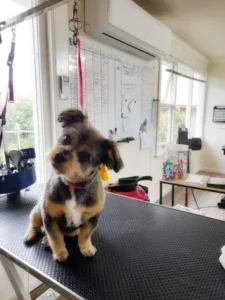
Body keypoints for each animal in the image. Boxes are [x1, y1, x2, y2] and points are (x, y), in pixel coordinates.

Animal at [23, 109, 124, 262]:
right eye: (66, 138)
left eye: (84, 156)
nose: (59, 155)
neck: (73, 185)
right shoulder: (49, 216)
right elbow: (56, 237)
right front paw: (60, 252)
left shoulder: (92, 219)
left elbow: (85, 235)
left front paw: (86, 247)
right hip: (37, 213)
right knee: (34, 225)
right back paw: (32, 236)